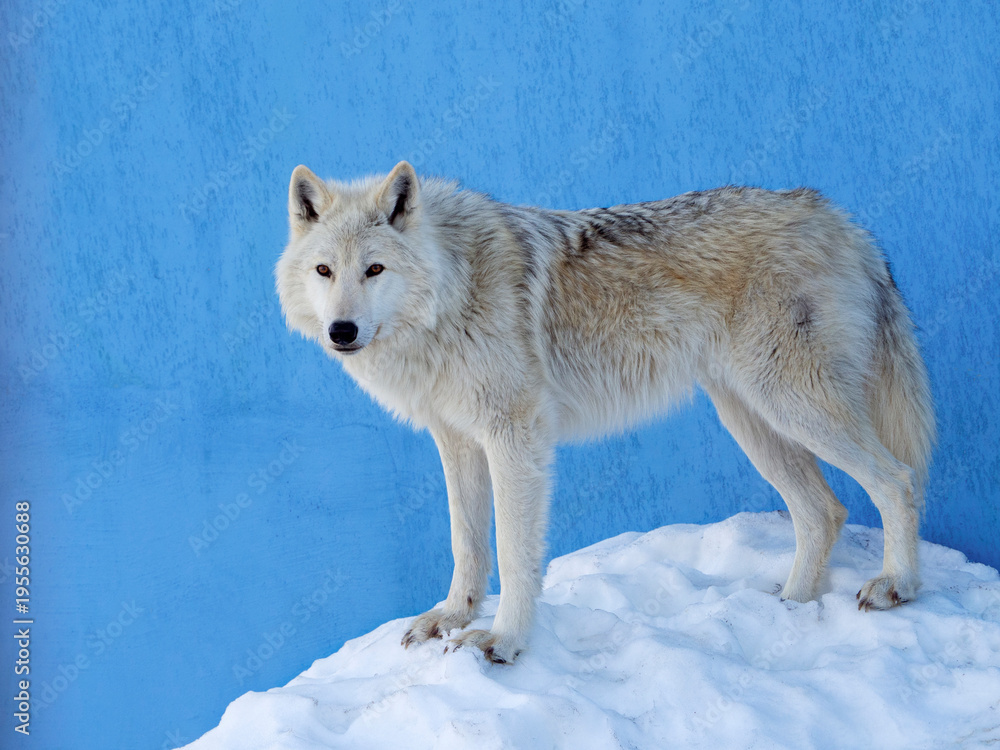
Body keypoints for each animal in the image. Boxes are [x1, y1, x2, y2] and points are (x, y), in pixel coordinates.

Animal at [276, 161, 934, 664]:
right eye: (324, 271)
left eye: (375, 269)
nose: (341, 331)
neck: (452, 291)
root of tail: (842, 219)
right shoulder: (457, 440)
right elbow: (467, 544)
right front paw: (451, 617)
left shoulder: (516, 438)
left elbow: (513, 552)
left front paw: (503, 640)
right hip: (753, 422)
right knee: (825, 511)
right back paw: (788, 608)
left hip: (794, 406)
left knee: (896, 480)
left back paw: (895, 585)